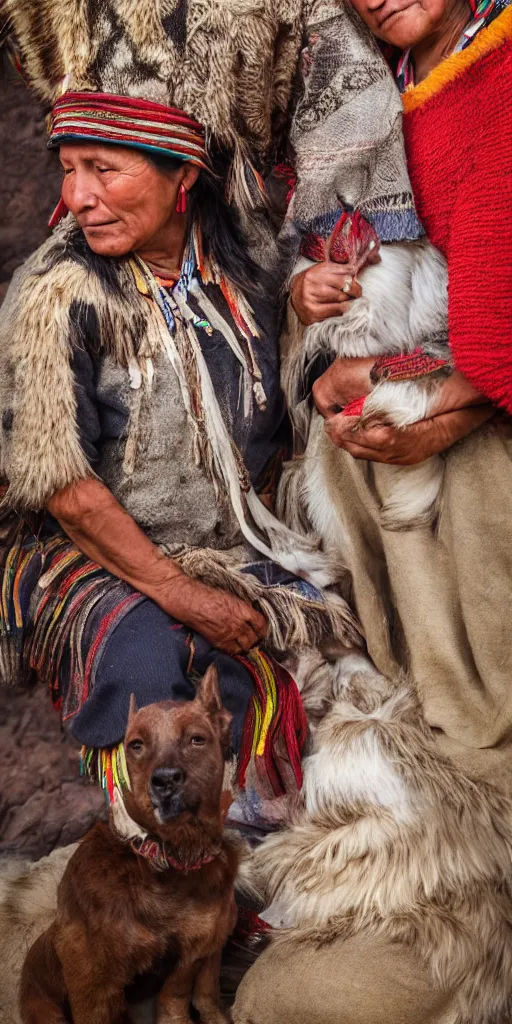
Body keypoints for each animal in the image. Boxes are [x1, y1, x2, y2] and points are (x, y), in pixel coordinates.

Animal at [20, 667, 240, 1019]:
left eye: (196, 739)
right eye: (136, 745)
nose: (165, 780)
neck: (169, 856)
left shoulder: (197, 950)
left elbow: (178, 998)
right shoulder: (94, 981)